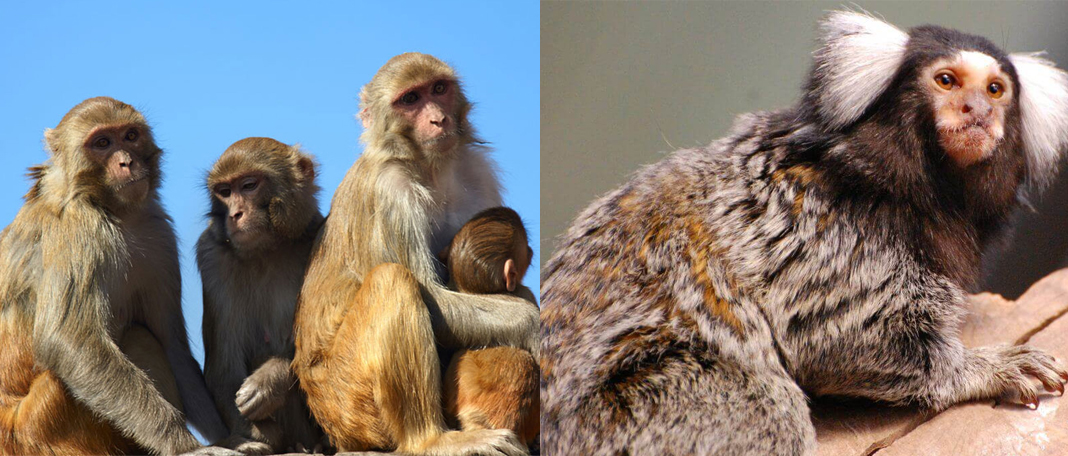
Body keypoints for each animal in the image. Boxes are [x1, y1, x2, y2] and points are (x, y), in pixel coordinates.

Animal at [0, 97, 231, 455]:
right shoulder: (81, 228)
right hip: (40, 426)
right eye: (102, 143)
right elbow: (69, 341)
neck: (114, 211)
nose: (126, 162)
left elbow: (173, 346)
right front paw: (184, 446)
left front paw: (230, 437)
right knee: (131, 337)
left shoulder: (158, 232)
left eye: (131, 136)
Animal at [197, 137, 325, 454]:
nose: (235, 214)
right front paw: (255, 435)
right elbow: (224, 367)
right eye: (225, 192)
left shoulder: (318, 235)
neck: (266, 250)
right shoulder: (212, 255)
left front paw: (269, 383)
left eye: (249, 185)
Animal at [540, 11, 1068, 456]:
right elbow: (840, 338)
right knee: (769, 411)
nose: (976, 110)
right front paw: (982, 370)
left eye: (996, 90)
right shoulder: (829, 231)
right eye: (946, 81)